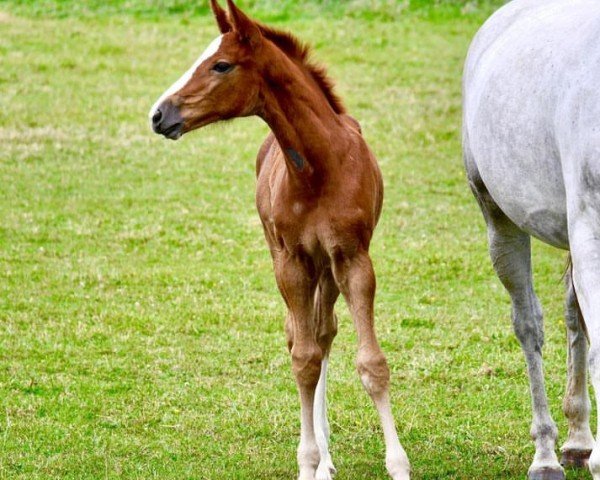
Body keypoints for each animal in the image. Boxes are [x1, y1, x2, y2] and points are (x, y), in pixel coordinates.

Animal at [148, 1, 410, 478]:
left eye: (221, 64)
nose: (159, 115)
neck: (320, 168)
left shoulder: (353, 259)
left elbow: (370, 362)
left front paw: (398, 464)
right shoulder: (291, 262)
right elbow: (302, 360)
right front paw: (309, 462)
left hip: (327, 270)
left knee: (325, 333)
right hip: (294, 262)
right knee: (304, 339)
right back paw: (321, 455)